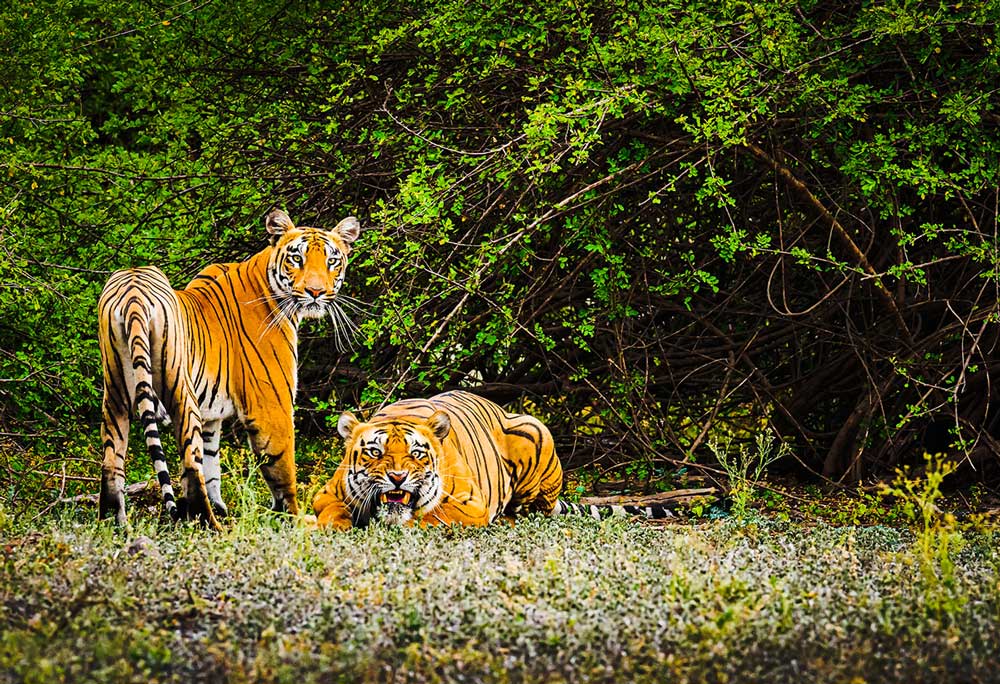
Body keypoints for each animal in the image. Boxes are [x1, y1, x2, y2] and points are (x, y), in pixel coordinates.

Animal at [97, 208, 362, 528]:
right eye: (297, 258)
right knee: (190, 465)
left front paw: (222, 506)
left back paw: (114, 523)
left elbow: (213, 465)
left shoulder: (212, 417)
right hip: (180, 391)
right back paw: (209, 524)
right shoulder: (271, 406)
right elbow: (282, 467)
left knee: (112, 461)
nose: (315, 291)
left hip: (115, 393)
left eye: (331, 260)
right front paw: (294, 518)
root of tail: (133, 291)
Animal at [310, 390, 680, 528]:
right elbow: (331, 512)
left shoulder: (469, 506)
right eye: (376, 452)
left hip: (535, 430)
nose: (398, 478)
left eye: (416, 454)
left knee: (532, 508)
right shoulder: (324, 495)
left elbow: (431, 517)